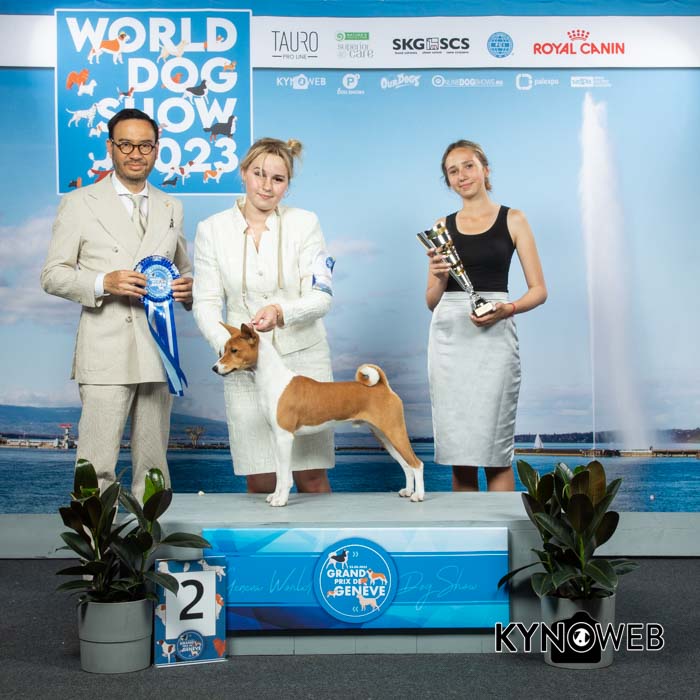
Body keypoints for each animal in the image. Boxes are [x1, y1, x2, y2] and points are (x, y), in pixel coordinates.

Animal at [213, 323, 425, 507]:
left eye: (234, 351)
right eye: (223, 351)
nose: (214, 368)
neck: (273, 381)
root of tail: (383, 387)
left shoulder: (285, 437)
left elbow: (286, 476)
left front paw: (281, 500)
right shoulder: (275, 437)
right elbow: (279, 473)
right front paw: (274, 495)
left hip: (394, 431)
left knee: (417, 464)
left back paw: (418, 496)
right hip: (384, 436)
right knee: (406, 465)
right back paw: (408, 491)